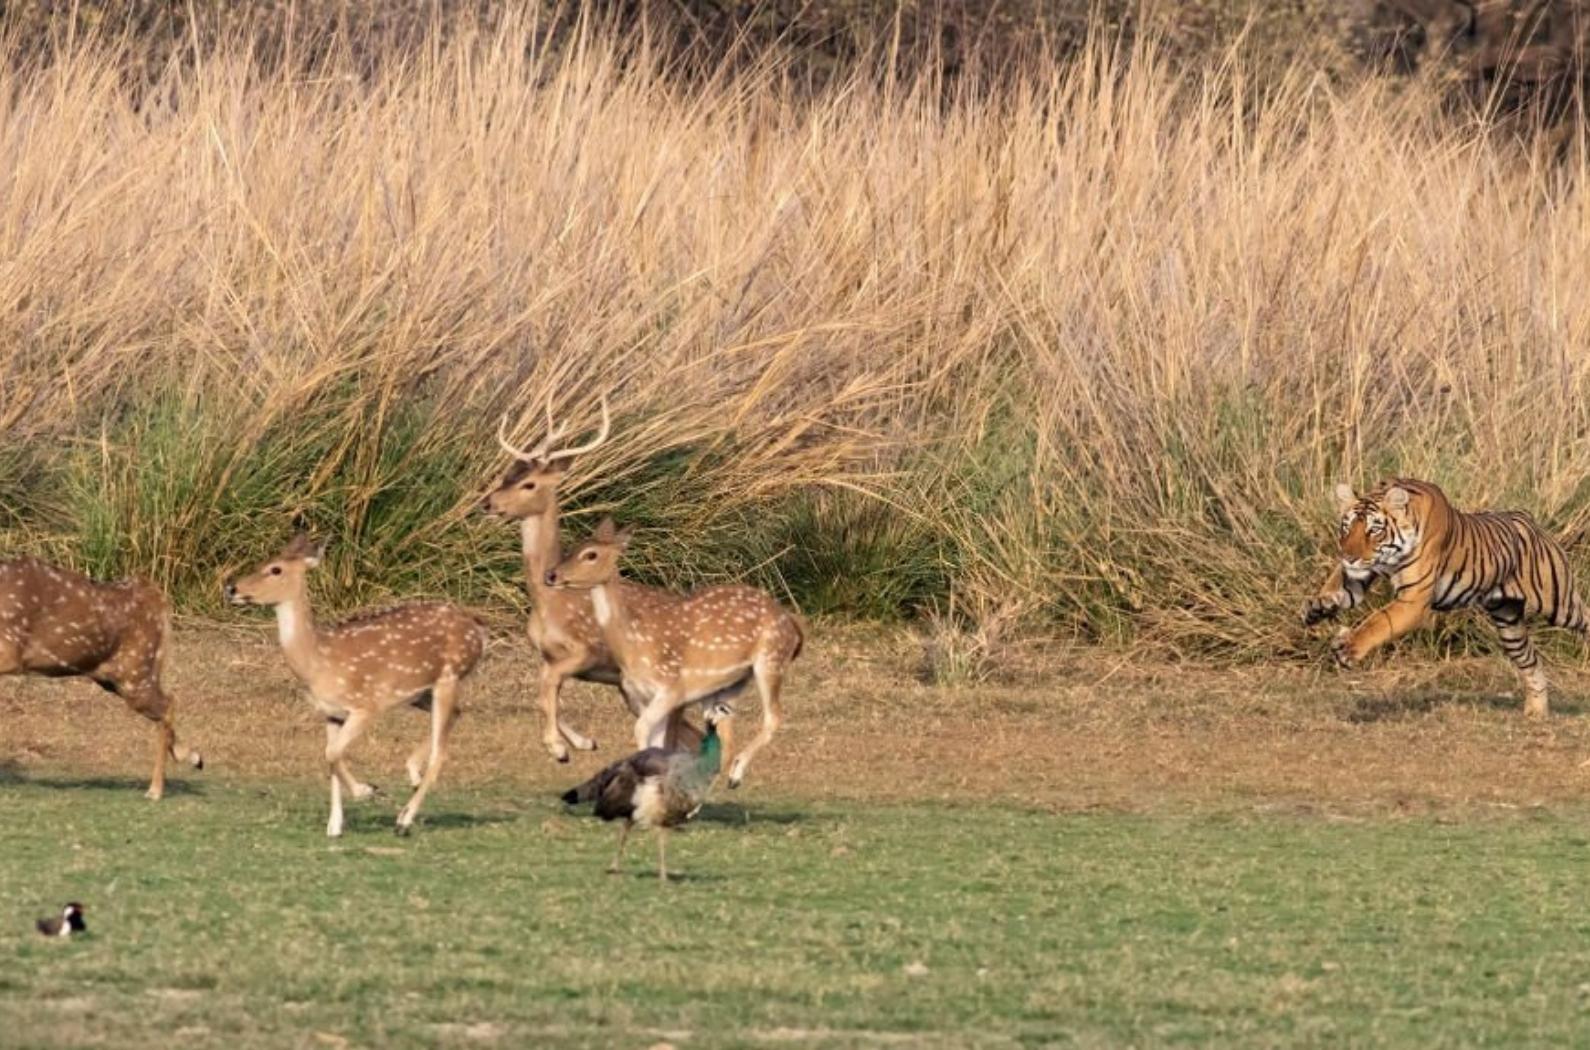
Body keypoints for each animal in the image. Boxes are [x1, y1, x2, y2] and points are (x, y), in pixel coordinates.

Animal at [0, 563, 205, 798]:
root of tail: (157, 598)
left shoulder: (10, 650)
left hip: (134, 671)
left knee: (168, 703)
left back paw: (155, 790)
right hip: (114, 677)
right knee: (166, 704)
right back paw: (192, 758)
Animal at [222, 534, 483, 833]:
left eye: (275, 569)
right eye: (263, 561)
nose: (231, 588)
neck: (319, 662)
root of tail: (479, 631)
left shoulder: (366, 705)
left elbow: (332, 753)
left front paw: (367, 791)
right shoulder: (331, 713)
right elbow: (329, 757)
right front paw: (335, 825)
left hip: (448, 678)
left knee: (441, 753)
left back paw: (404, 819)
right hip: (420, 693)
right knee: (458, 714)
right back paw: (412, 775)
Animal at [480, 394, 705, 763]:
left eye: (529, 484)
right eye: (505, 476)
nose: (487, 503)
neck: (549, 604)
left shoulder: (586, 652)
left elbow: (546, 688)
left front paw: (558, 746)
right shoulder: (549, 656)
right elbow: (545, 691)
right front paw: (580, 742)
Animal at [546, 512, 801, 792]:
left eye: (591, 554)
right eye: (575, 546)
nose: (551, 575)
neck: (632, 645)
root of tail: (792, 625)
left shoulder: (671, 688)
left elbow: (642, 729)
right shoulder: (642, 695)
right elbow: (655, 740)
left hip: (771, 660)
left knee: (773, 717)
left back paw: (735, 777)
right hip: (730, 684)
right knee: (727, 731)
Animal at [1303, 477, 1590, 719]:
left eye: (1374, 530)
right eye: (1346, 526)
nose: (1348, 557)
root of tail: (1528, 519)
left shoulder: (1413, 600)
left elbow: (1378, 622)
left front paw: (1348, 648)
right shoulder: (1359, 575)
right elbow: (1336, 587)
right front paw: (1316, 607)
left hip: (1559, 603)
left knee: (1583, 618)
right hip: (1509, 624)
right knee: (1531, 661)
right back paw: (1536, 714)